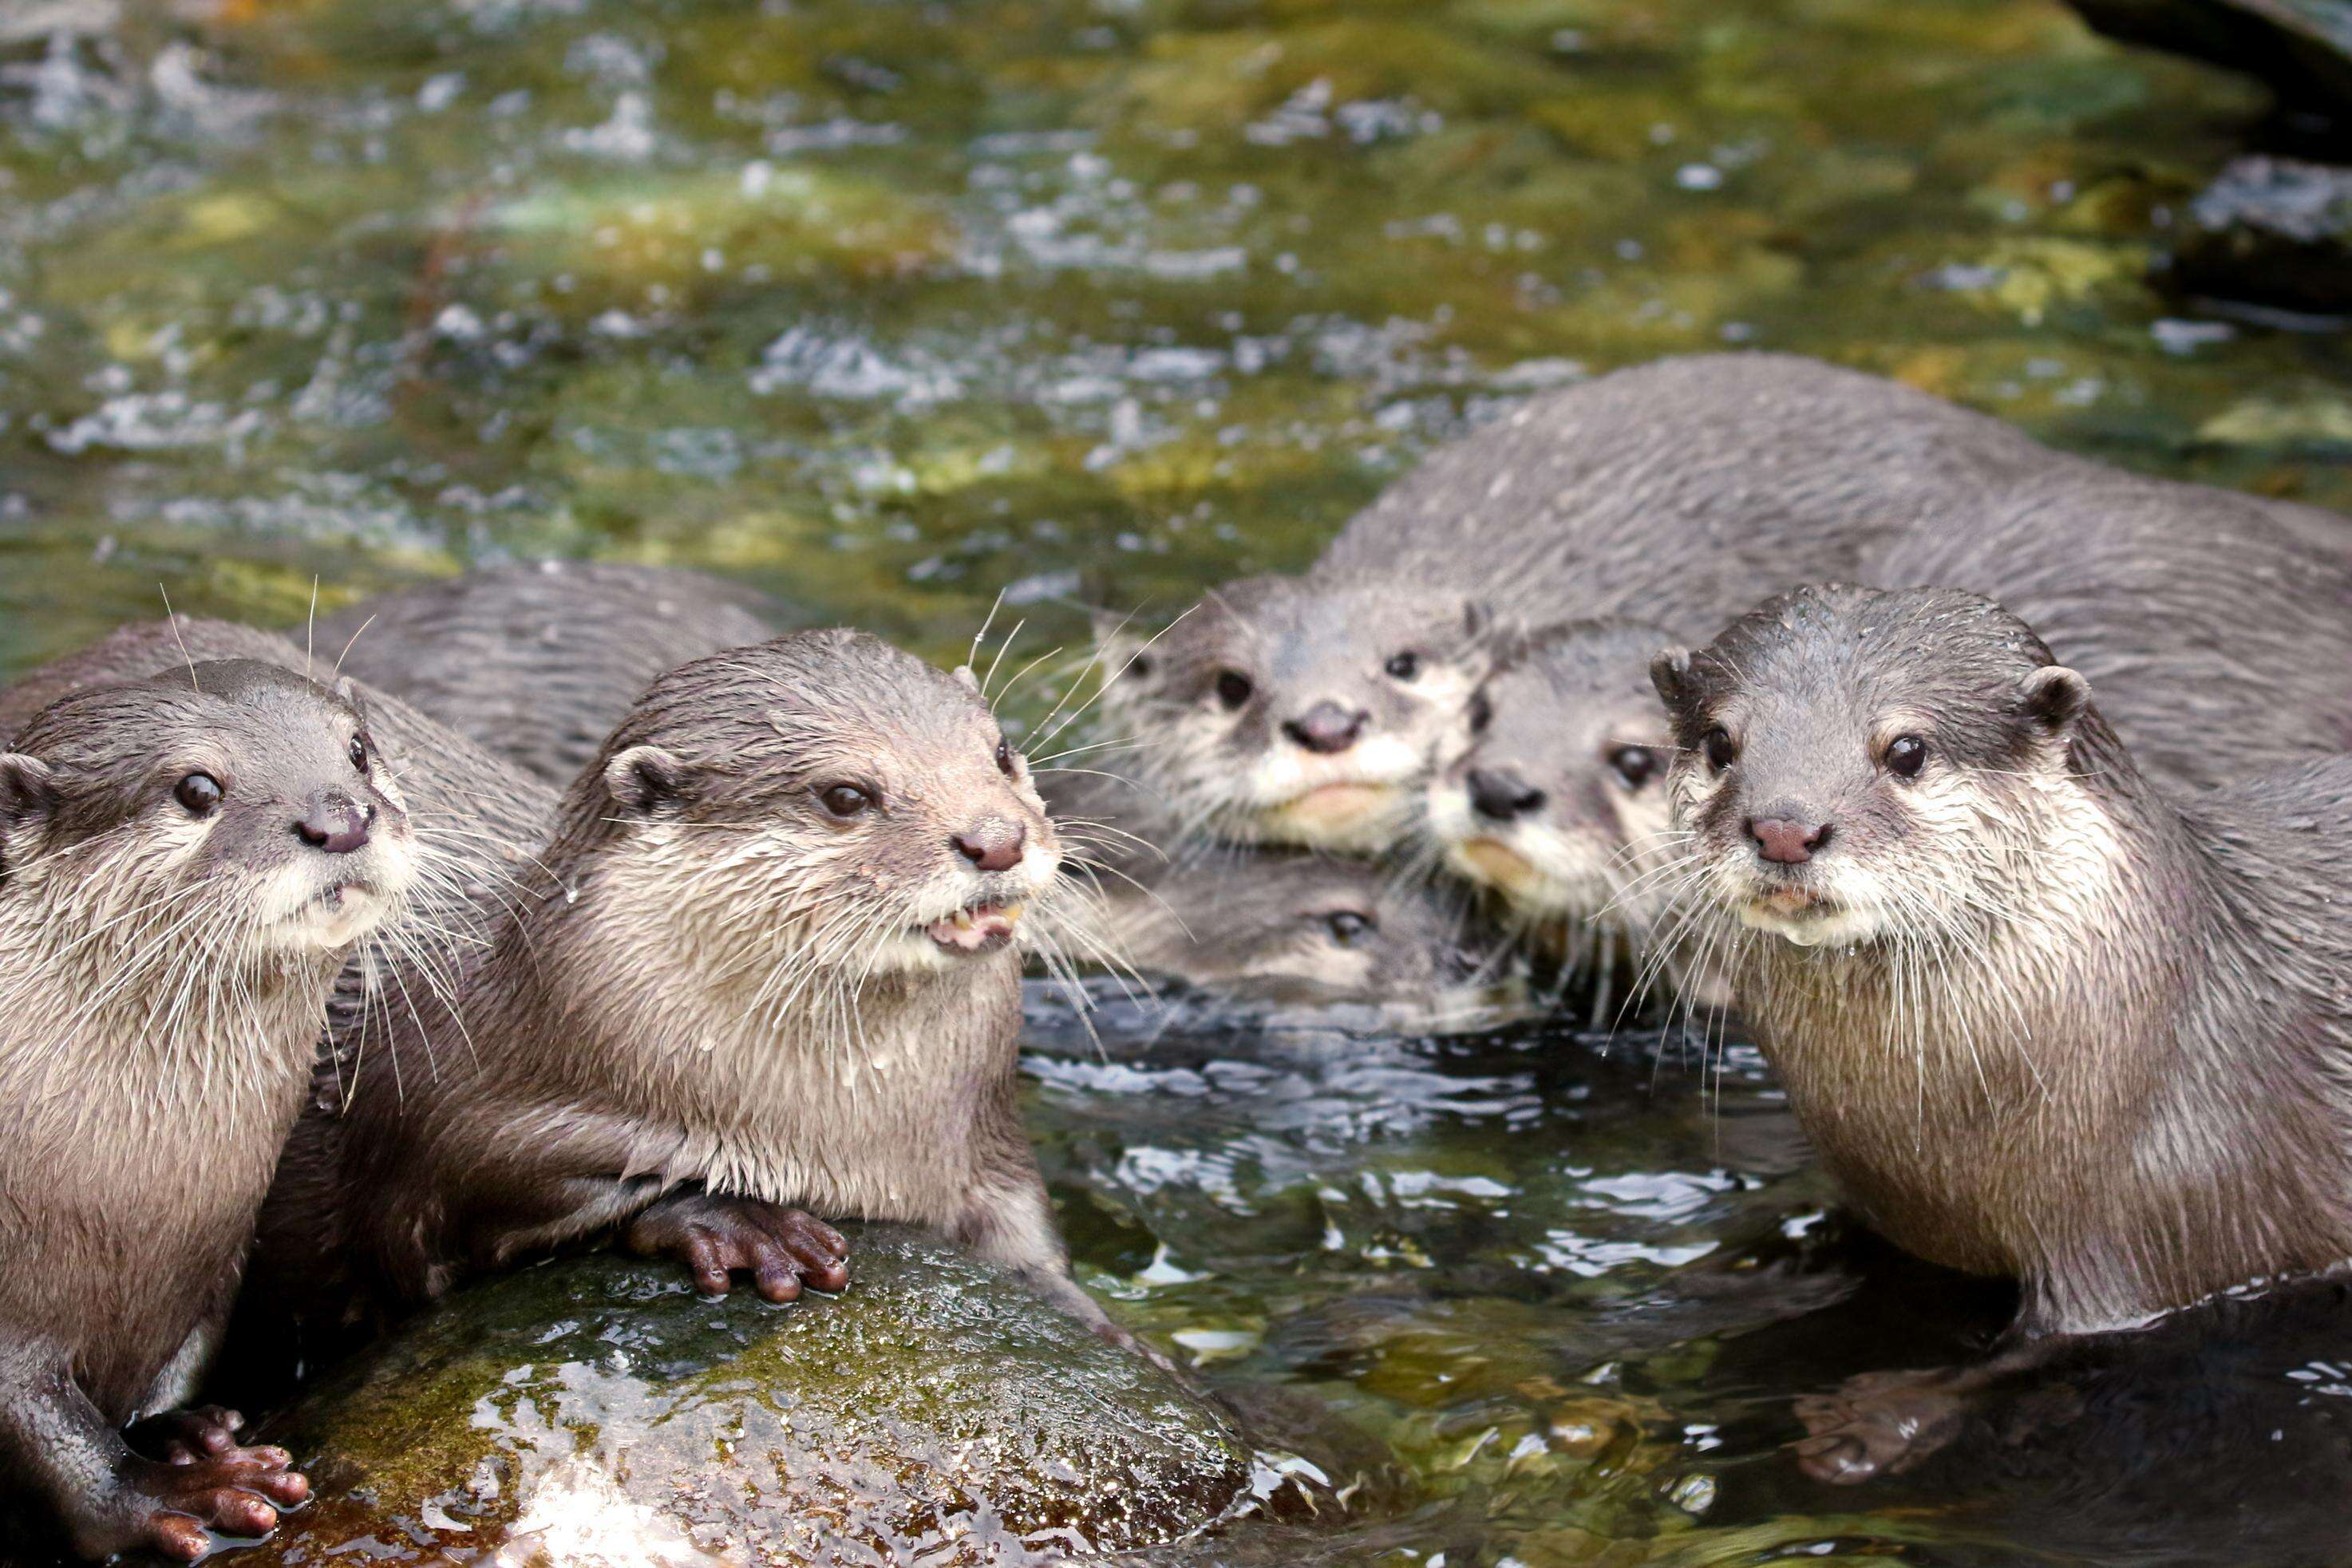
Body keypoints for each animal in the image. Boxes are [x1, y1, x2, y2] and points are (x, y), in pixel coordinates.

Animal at [0, 658, 418, 1561]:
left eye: (358, 749)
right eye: (196, 787)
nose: (339, 818)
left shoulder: (210, 1266)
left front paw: (184, 1434)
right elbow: (42, 1431)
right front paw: (173, 1493)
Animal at [250, 630, 1109, 1353]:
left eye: (1001, 751)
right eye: (845, 796)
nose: (997, 839)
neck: (851, 1138)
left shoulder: (987, 1143)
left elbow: (1027, 1239)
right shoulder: (443, 1126)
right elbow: (500, 1195)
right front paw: (745, 1222)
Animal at [1655, 585, 2352, 1485]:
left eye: (1906, 749)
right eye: (1718, 741)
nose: (1783, 826)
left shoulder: (2150, 1232)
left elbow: (2031, 1354)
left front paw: (1878, 1418)